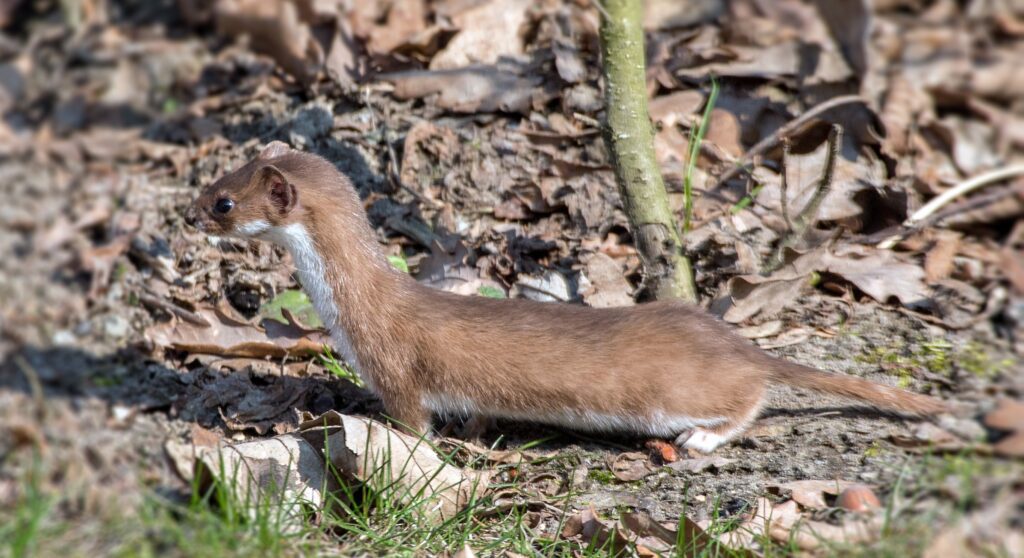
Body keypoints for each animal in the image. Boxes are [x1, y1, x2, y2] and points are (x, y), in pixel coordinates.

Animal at [182, 142, 942, 452]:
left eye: (223, 202)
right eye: (216, 179)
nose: (187, 214)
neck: (351, 309)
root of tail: (730, 338)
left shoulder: (395, 370)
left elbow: (411, 421)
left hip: (681, 391)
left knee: (748, 396)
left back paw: (701, 436)